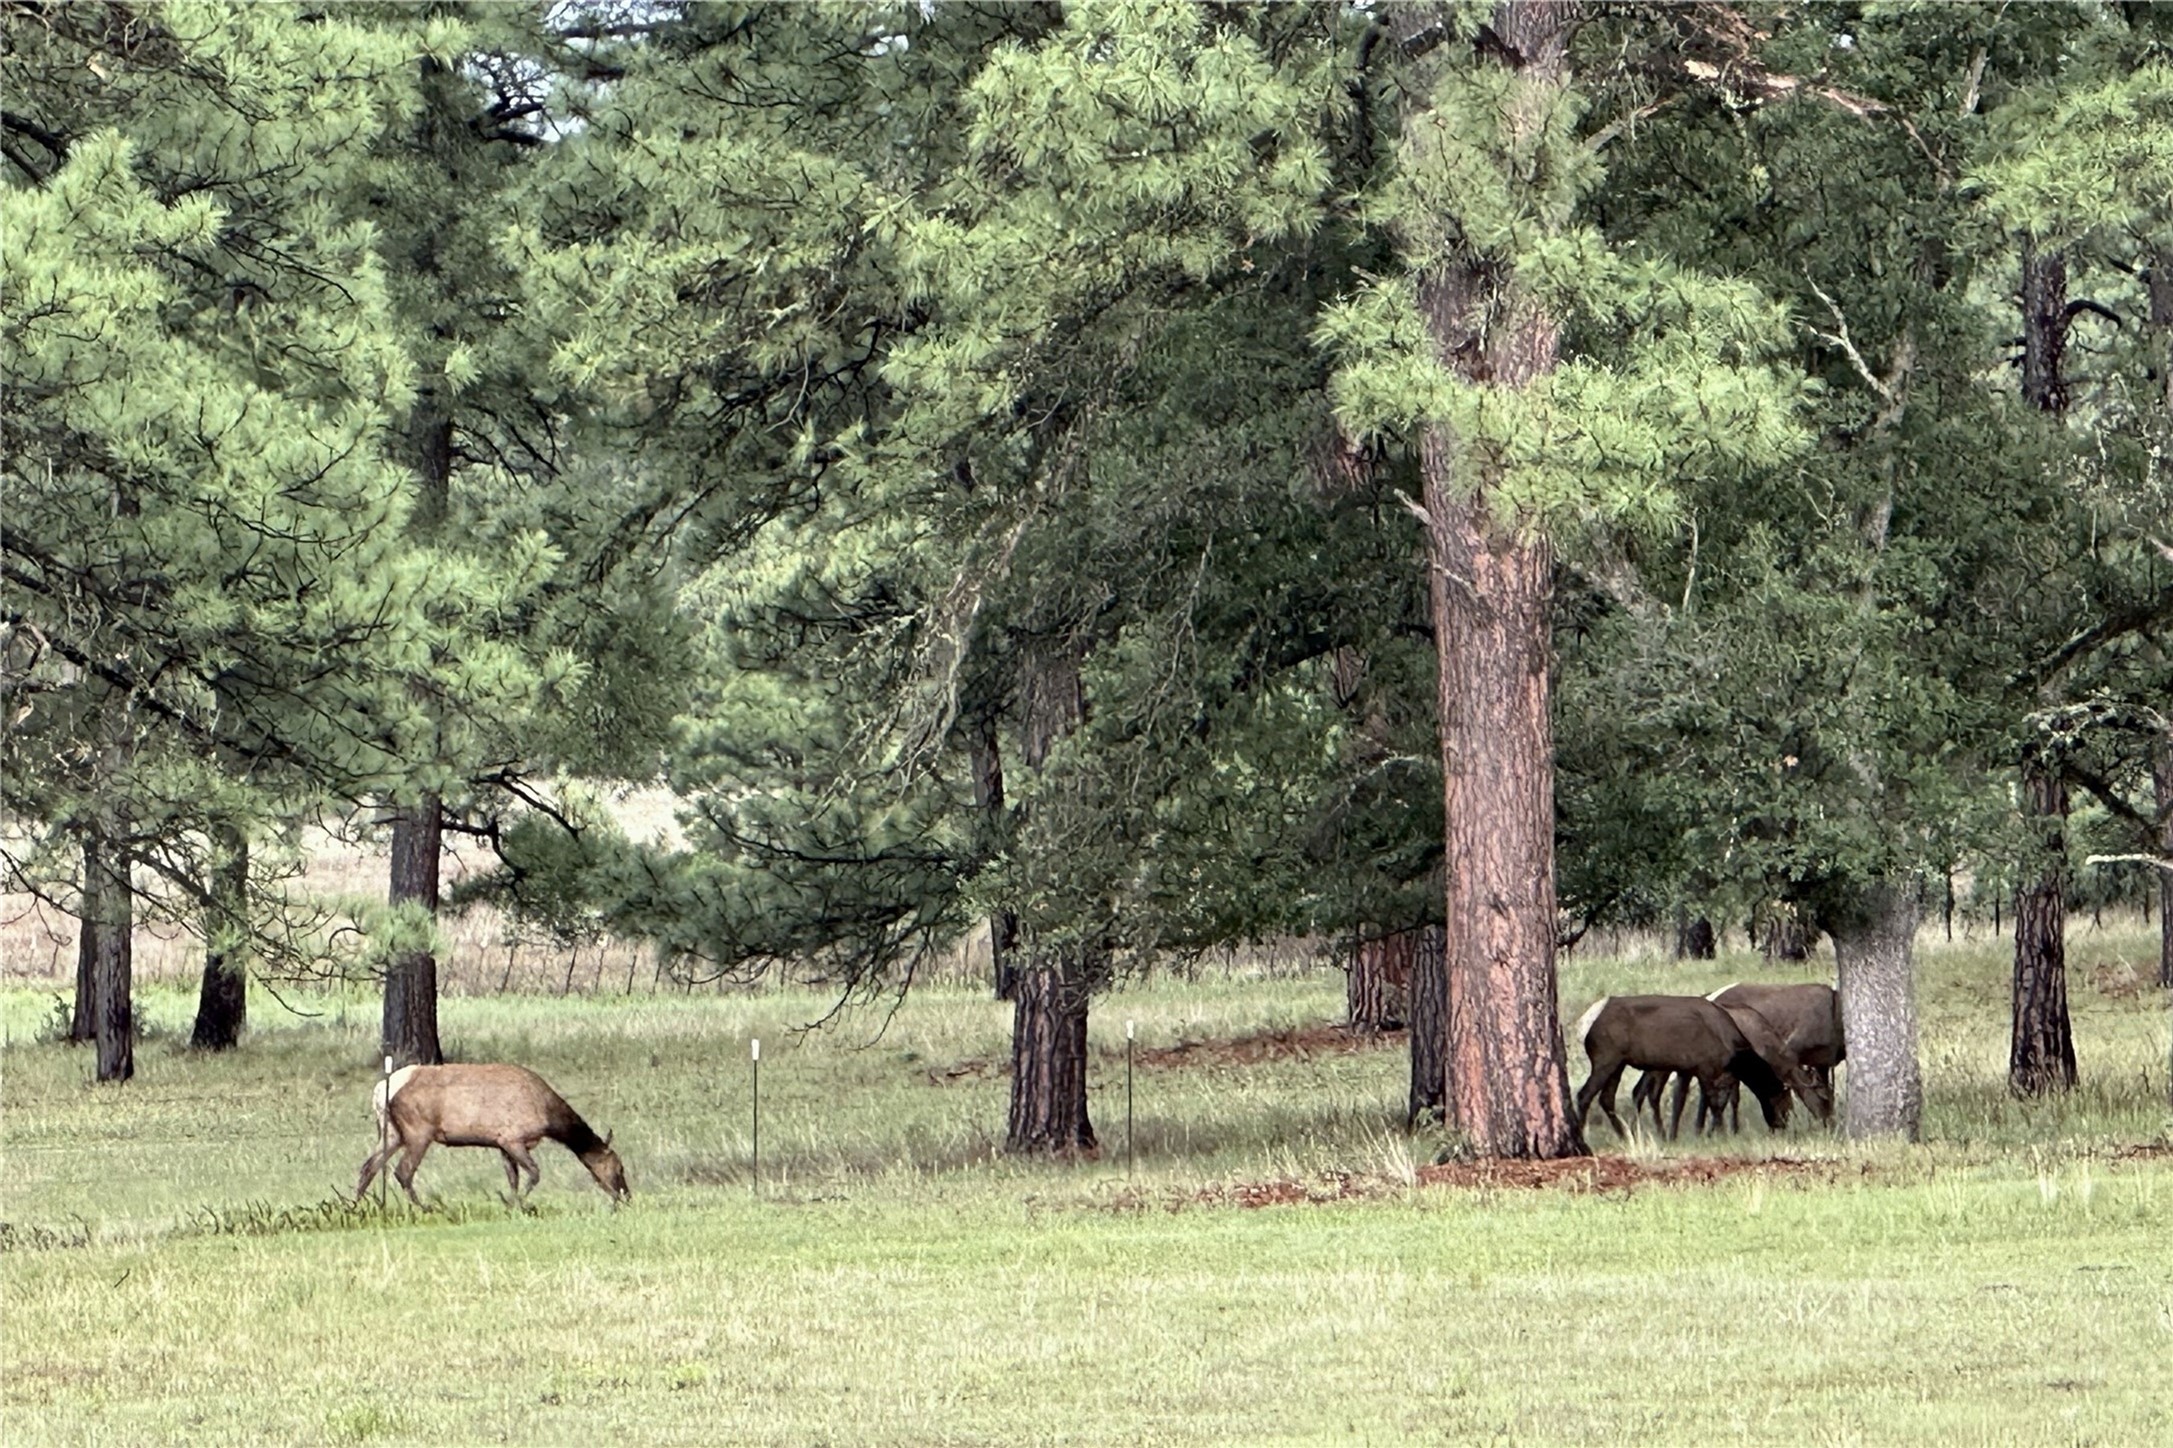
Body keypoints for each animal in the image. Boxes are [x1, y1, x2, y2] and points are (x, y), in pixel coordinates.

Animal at [356, 1060, 630, 1208]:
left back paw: (357, 1206)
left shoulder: (502, 1143)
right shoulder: (513, 1138)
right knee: (402, 1172)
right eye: (619, 1168)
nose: (626, 1196)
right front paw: (519, 1204)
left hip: (391, 1132)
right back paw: (425, 1208)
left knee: (368, 1166)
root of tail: (381, 1090)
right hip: (418, 1132)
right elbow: (534, 1174)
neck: (549, 1119)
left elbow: (513, 1179)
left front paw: (512, 1205)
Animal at [1573, 991, 1807, 1139]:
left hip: (1618, 1063)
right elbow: (1714, 1103)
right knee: (1584, 1095)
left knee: (1606, 1099)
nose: (1782, 1126)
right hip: (1605, 1058)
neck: (1734, 1050)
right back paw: (1584, 1134)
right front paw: (1721, 1133)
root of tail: (1585, 1026)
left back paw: (1625, 1135)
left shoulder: (1691, 1069)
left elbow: (1695, 1102)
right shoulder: (1705, 1067)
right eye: (1785, 1103)